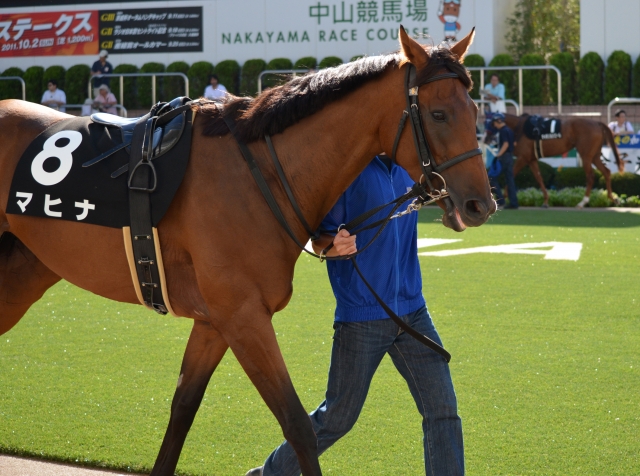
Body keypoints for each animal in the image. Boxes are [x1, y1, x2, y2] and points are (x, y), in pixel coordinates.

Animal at [0, 28, 495, 475]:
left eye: (474, 109)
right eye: (438, 113)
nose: (481, 205)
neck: (261, 176)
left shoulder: (213, 322)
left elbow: (183, 408)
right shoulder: (244, 317)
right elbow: (297, 424)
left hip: (24, 274)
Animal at [486, 113, 623, 207]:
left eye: (490, 124)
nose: (486, 139)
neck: (520, 128)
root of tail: (597, 123)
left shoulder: (523, 158)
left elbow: (512, 175)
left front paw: (505, 197)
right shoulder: (531, 159)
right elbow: (539, 178)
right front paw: (546, 200)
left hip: (586, 156)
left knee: (590, 176)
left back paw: (583, 202)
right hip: (594, 156)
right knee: (606, 172)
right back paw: (612, 198)